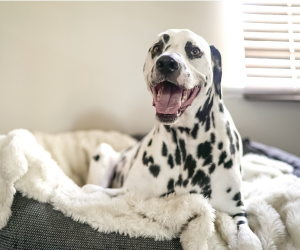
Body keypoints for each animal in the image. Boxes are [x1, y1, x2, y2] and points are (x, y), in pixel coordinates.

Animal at [84, 29, 262, 250]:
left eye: (194, 50)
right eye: (157, 48)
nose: (167, 62)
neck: (186, 145)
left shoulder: (235, 211)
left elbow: (248, 238)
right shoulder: (129, 193)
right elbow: (93, 191)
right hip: (102, 151)